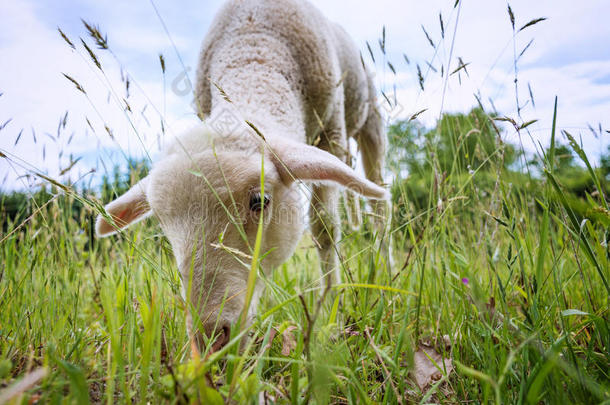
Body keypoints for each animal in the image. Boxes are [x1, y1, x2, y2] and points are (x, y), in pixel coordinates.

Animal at [95, 0, 390, 348]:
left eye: (259, 202)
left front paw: (330, 305)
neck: (255, 50)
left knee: (379, 202)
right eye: (163, 223)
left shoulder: (332, 131)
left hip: (369, 117)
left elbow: (324, 229)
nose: (209, 335)